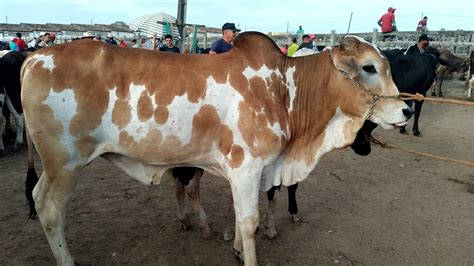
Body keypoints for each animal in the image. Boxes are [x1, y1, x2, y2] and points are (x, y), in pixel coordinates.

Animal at [21, 32, 412, 264]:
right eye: (369, 67)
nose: (406, 111)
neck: (284, 89)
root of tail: (35, 57)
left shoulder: (246, 171)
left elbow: (241, 217)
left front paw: (236, 248)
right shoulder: (248, 167)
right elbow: (250, 221)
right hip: (64, 164)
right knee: (49, 210)